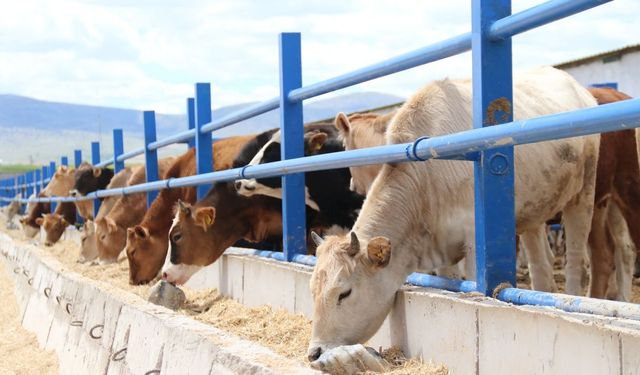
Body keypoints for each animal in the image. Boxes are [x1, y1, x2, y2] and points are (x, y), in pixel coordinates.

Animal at [304, 67, 600, 368]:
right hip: (534, 211)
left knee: (576, 257)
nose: (314, 352)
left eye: (345, 292)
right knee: (541, 264)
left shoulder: (474, 242)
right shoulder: (442, 252)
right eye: (313, 290)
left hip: (584, 192)